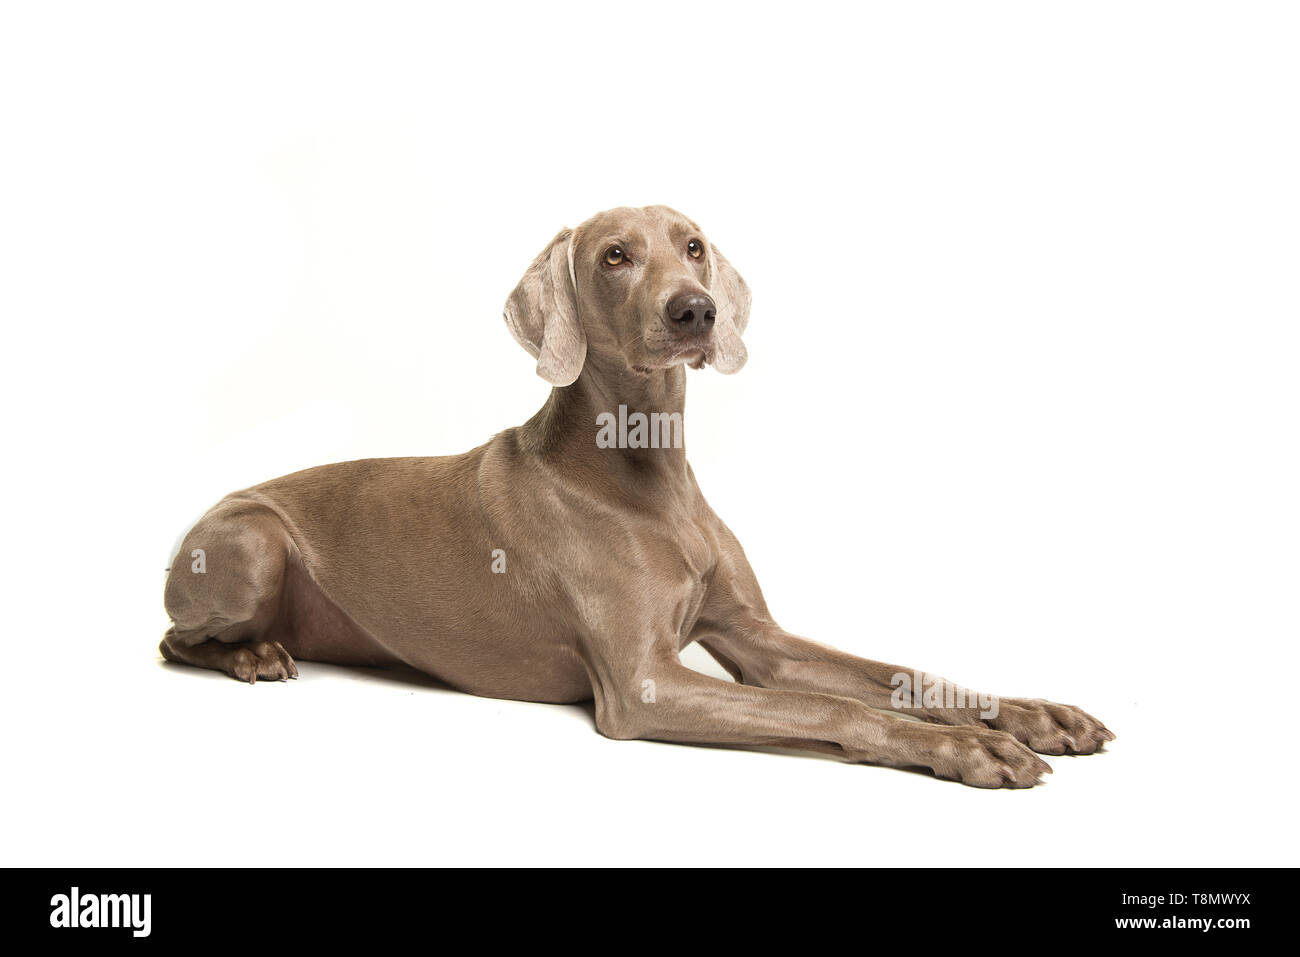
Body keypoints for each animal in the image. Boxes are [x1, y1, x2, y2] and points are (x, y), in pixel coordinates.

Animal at [157, 201, 1112, 785]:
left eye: (692, 245)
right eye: (615, 255)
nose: (696, 311)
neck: (648, 477)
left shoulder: (758, 639)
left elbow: (895, 677)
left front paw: (1034, 714)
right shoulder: (643, 685)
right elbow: (832, 705)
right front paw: (972, 747)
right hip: (251, 542)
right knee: (175, 639)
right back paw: (252, 655)